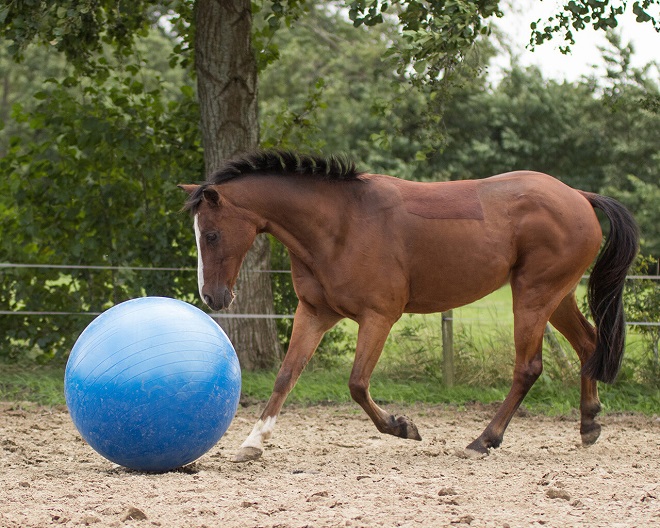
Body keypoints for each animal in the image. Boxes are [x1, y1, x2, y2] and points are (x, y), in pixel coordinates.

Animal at [179, 150, 640, 462]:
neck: (339, 225)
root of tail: (578, 196)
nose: (213, 297)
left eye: (212, 235)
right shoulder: (313, 314)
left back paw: (482, 441)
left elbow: (357, 384)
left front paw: (403, 427)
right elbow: (285, 376)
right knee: (588, 344)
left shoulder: (378, 317)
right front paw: (252, 443)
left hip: (532, 296)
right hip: (556, 296)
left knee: (528, 368)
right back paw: (589, 425)